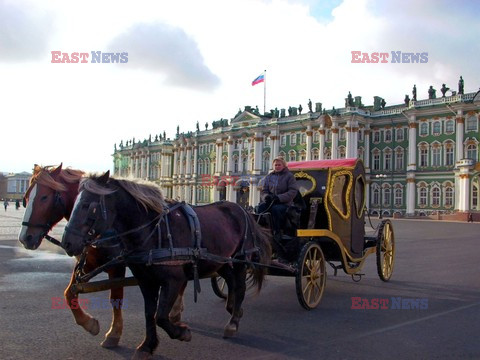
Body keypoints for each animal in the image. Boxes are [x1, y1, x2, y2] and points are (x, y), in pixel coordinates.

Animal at [61, 172, 270, 360]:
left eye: (89, 206)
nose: (67, 243)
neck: (154, 231)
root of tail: (242, 210)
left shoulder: (174, 280)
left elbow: (160, 316)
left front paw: (182, 333)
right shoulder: (146, 281)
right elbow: (149, 313)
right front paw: (147, 346)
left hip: (240, 260)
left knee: (240, 287)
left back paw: (232, 323)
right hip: (223, 262)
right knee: (231, 283)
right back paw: (234, 309)